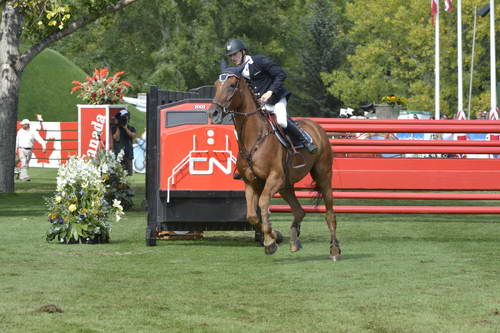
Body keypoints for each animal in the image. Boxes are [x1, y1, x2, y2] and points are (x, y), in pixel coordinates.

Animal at [209, 71, 342, 260]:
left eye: (232, 86)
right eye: (216, 85)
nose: (213, 113)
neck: (254, 138)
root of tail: (318, 127)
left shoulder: (274, 178)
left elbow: (263, 203)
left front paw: (270, 242)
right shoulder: (251, 183)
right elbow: (252, 216)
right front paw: (272, 236)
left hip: (322, 176)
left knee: (330, 214)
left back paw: (334, 250)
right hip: (286, 186)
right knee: (299, 211)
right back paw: (294, 241)